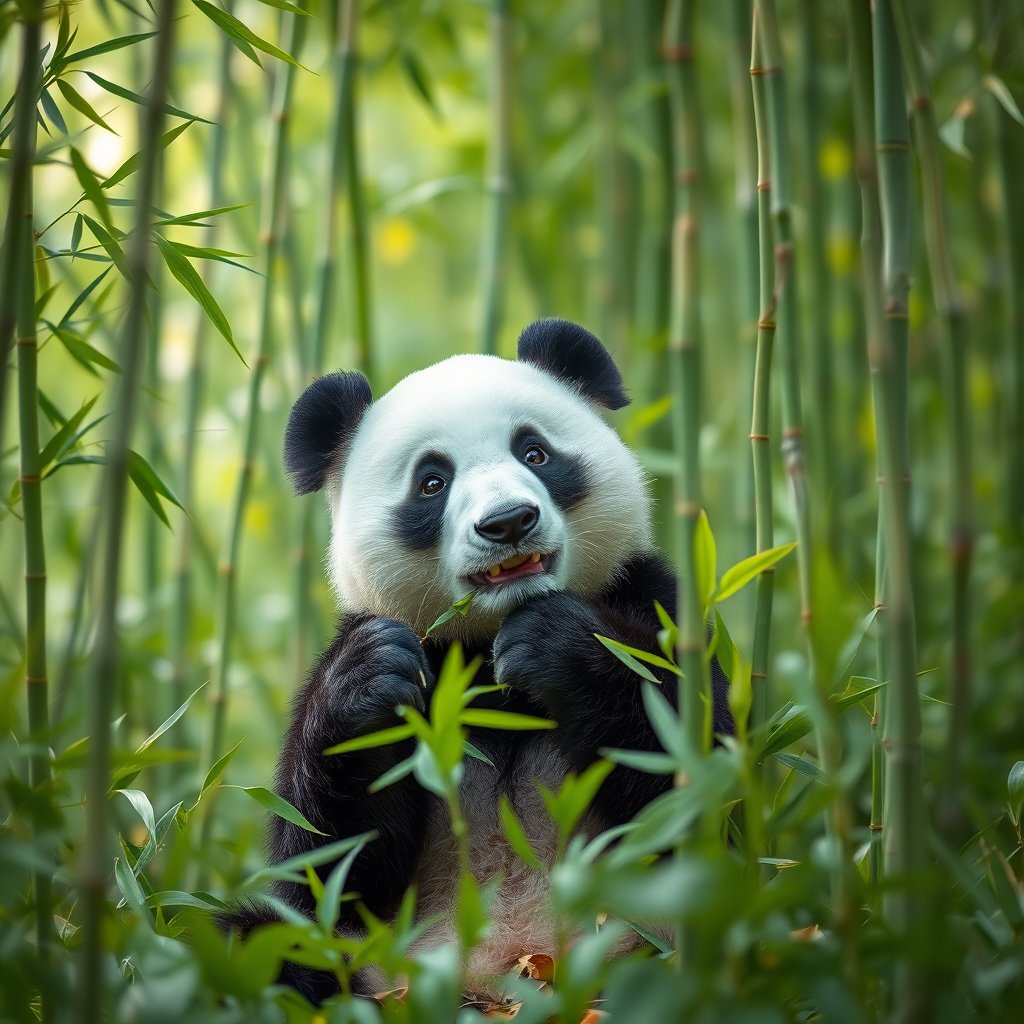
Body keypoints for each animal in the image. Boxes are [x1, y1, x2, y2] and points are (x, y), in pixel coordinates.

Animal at [244, 317, 732, 1004]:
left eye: (535, 453)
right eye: (432, 481)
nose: (508, 522)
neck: (485, 649)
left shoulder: (655, 603)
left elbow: (697, 778)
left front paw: (556, 644)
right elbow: (324, 871)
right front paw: (369, 679)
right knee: (261, 944)